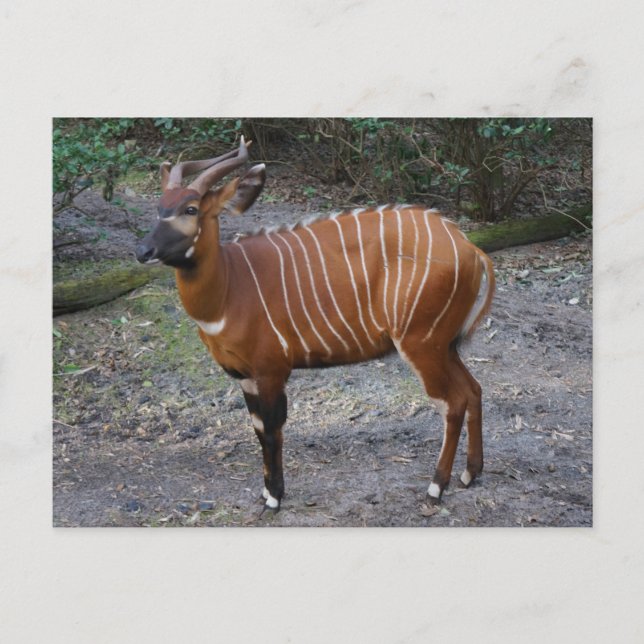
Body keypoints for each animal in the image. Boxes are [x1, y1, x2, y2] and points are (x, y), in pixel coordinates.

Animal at [135, 138, 495, 513]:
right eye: (159, 207)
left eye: (191, 209)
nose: (143, 250)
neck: (230, 286)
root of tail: (471, 249)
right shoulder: (245, 376)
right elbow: (257, 427)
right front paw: (266, 491)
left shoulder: (271, 370)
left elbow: (272, 429)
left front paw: (274, 497)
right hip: (445, 345)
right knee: (473, 389)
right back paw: (470, 474)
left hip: (422, 343)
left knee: (452, 402)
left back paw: (436, 487)